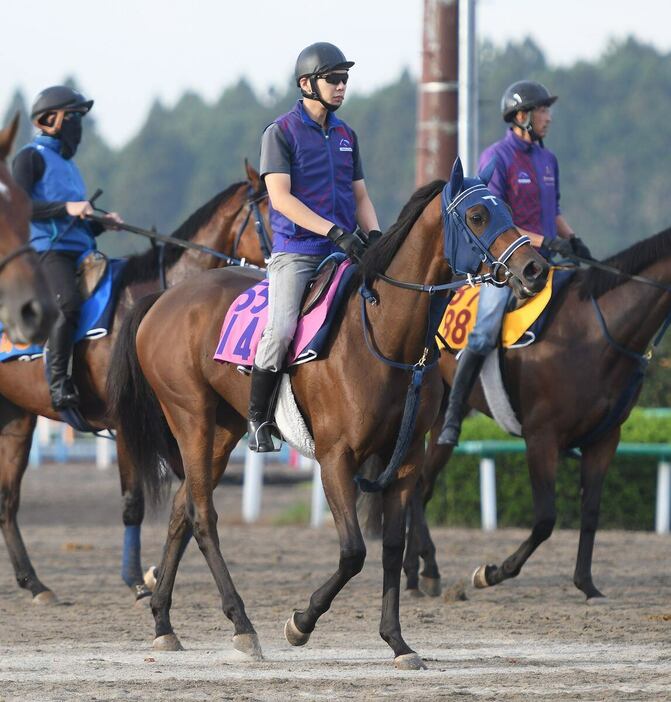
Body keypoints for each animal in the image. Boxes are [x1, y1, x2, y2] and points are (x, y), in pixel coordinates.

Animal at [0, 162, 270, 608]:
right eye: (270, 208)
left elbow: (191, 490)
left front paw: (156, 571)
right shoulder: (129, 424)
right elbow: (134, 502)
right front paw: (137, 580)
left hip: (17, 420)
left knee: (7, 501)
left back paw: (34, 583)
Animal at [110, 161, 548, 672]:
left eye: (508, 208)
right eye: (478, 215)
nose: (535, 268)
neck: (383, 336)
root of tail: (161, 301)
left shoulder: (403, 463)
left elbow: (391, 549)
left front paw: (397, 642)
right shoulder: (336, 459)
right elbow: (354, 552)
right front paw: (301, 622)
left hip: (222, 428)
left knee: (182, 510)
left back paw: (163, 622)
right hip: (191, 418)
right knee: (202, 516)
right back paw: (242, 625)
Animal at [402, 228, 671, 608]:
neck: (593, 332)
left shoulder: (605, 439)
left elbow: (590, 512)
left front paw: (587, 585)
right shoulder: (542, 437)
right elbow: (545, 519)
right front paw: (491, 573)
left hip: (442, 419)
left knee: (422, 486)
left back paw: (418, 573)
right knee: (416, 485)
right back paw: (425, 570)